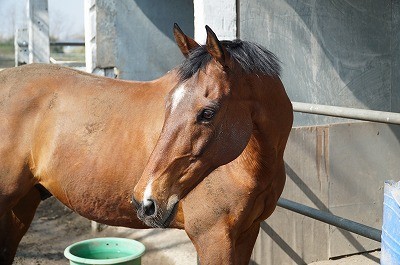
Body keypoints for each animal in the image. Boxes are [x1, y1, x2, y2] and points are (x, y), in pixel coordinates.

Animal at [0, 24, 294, 262]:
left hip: (22, 206)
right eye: (168, 103)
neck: (248, 167)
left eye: (207, 113)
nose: (145, 201)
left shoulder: (246, 233)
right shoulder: (213, 238)